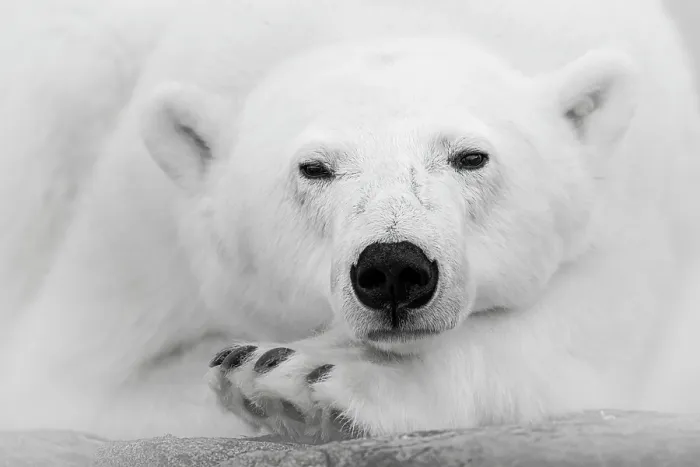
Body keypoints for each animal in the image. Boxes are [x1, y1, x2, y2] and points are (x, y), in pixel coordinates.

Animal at [1, 0, 699, 441]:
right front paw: (266, 375)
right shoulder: (137, 245)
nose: (394, 270)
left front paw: (298, 379)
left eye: (470, 156)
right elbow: (78, 387)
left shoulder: (633, 207)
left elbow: (571, 348)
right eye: (313, 167)